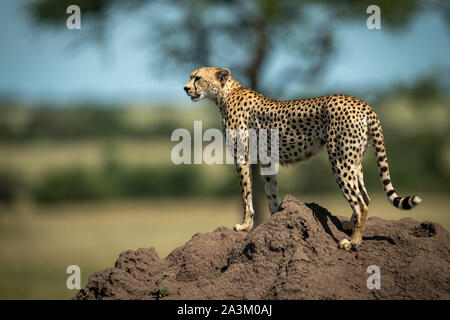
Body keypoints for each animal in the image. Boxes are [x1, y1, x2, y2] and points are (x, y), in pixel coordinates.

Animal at [183, 66, 422, 250]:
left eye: (197, 78)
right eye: (191, 76)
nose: (185, 88)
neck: (224, 93)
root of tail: (362, 104)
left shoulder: (242, 156)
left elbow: (246, 193)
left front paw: (245, 226)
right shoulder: (267, 160)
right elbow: (271, 194)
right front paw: (274, 222)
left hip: (339, 160)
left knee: (360, 202)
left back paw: (353, 242)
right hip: (354, 161)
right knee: (365, 196)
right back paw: (349, 227)